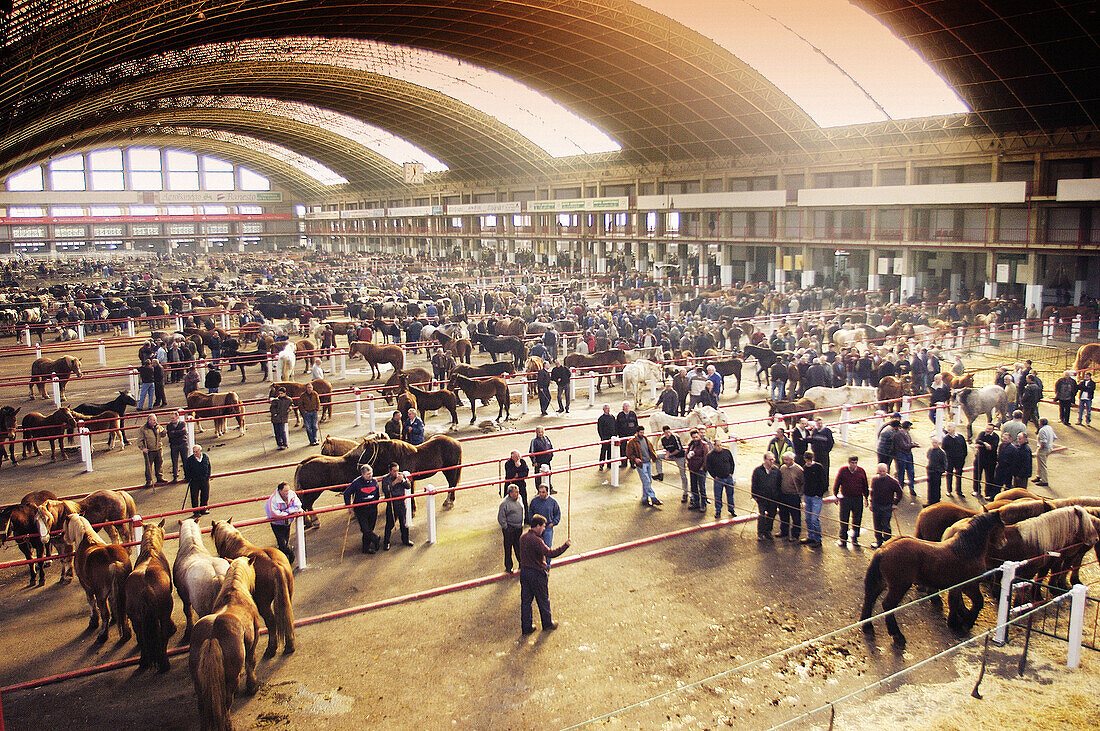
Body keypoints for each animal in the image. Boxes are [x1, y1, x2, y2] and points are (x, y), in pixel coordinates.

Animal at [62, 510, 132, 641]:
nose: (64, 537)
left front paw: (93, 622)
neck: (86, 539)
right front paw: (115, 618)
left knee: (104, 613)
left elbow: (92, 603)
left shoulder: (87, 587)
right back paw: (126, 633)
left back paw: (102, 635)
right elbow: (113, 602)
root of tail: (113, 561)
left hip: (100, 594)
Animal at [125, 518, 174, 672]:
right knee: (163, 636)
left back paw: (144, 661)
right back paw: (164, 664)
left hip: (135, 618)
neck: (150, 552)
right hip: (164, 612)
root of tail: (145, 587)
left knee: (141, 638)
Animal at [190, 556, 262, 725]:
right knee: (226, 704)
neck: (235, 594)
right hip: (230, 680)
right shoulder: (254, 639)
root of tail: (212, 636)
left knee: (203, 706)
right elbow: (251, 662)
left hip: (199, 682)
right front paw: (252, 687)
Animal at [210, 518, 294, 655]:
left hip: (263, 603)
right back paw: (289, 645)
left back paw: (271, 649)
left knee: (272, 621)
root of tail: (275, 565)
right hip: (287, 596)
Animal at [858, 510, 1007, 646]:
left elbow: (954, 602)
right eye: (1001, 526)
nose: (1004, 543)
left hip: (882, 582)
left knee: (870, 598)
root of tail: (883, 549)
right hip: (899, 586)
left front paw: (954, 622)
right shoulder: (969, 586)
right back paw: (897, 635)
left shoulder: (957, 586)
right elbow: (978, 602)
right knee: (888, 605)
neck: (966, 550)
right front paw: (967, 623)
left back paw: (867, 626)